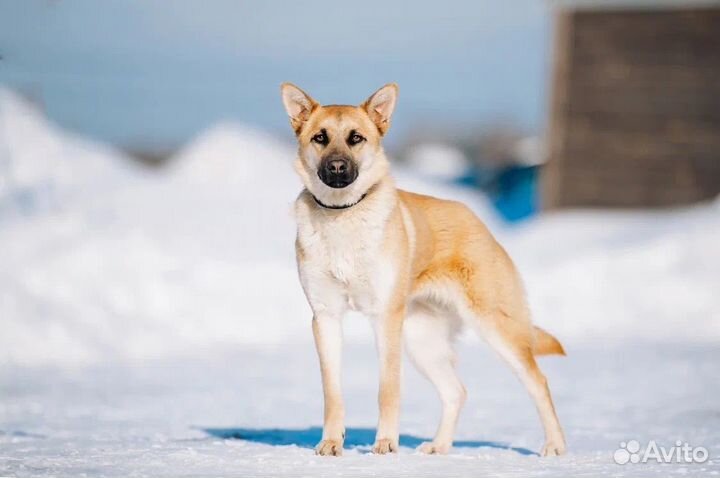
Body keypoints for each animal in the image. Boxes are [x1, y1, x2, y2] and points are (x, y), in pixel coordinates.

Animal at [278, 82, 564, 456]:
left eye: (356, 138)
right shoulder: (326, 317)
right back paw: (440, 446)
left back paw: (555, 445)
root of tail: (476, 220)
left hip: (494, 327)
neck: (343, 216)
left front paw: (386, 443)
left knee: (538, 382)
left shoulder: (385, 319)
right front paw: (331, 443)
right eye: (320, 138)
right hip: (421, 340)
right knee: (456, 392)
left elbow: (387, 389)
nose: (337, 167)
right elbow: (332, 392)